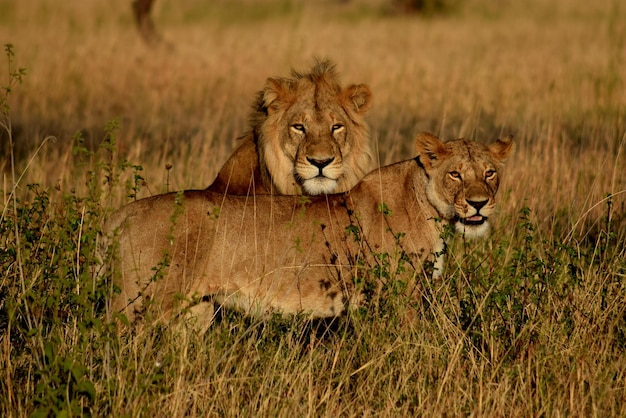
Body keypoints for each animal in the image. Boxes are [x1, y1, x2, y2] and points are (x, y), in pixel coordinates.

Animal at [105, 131, 510, 326]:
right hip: (138, 305)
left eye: (490, 173)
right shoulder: (398, 296)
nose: (479, 203)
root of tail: (122, 212)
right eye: (455, 174)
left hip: (195, 313)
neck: (432, 210)